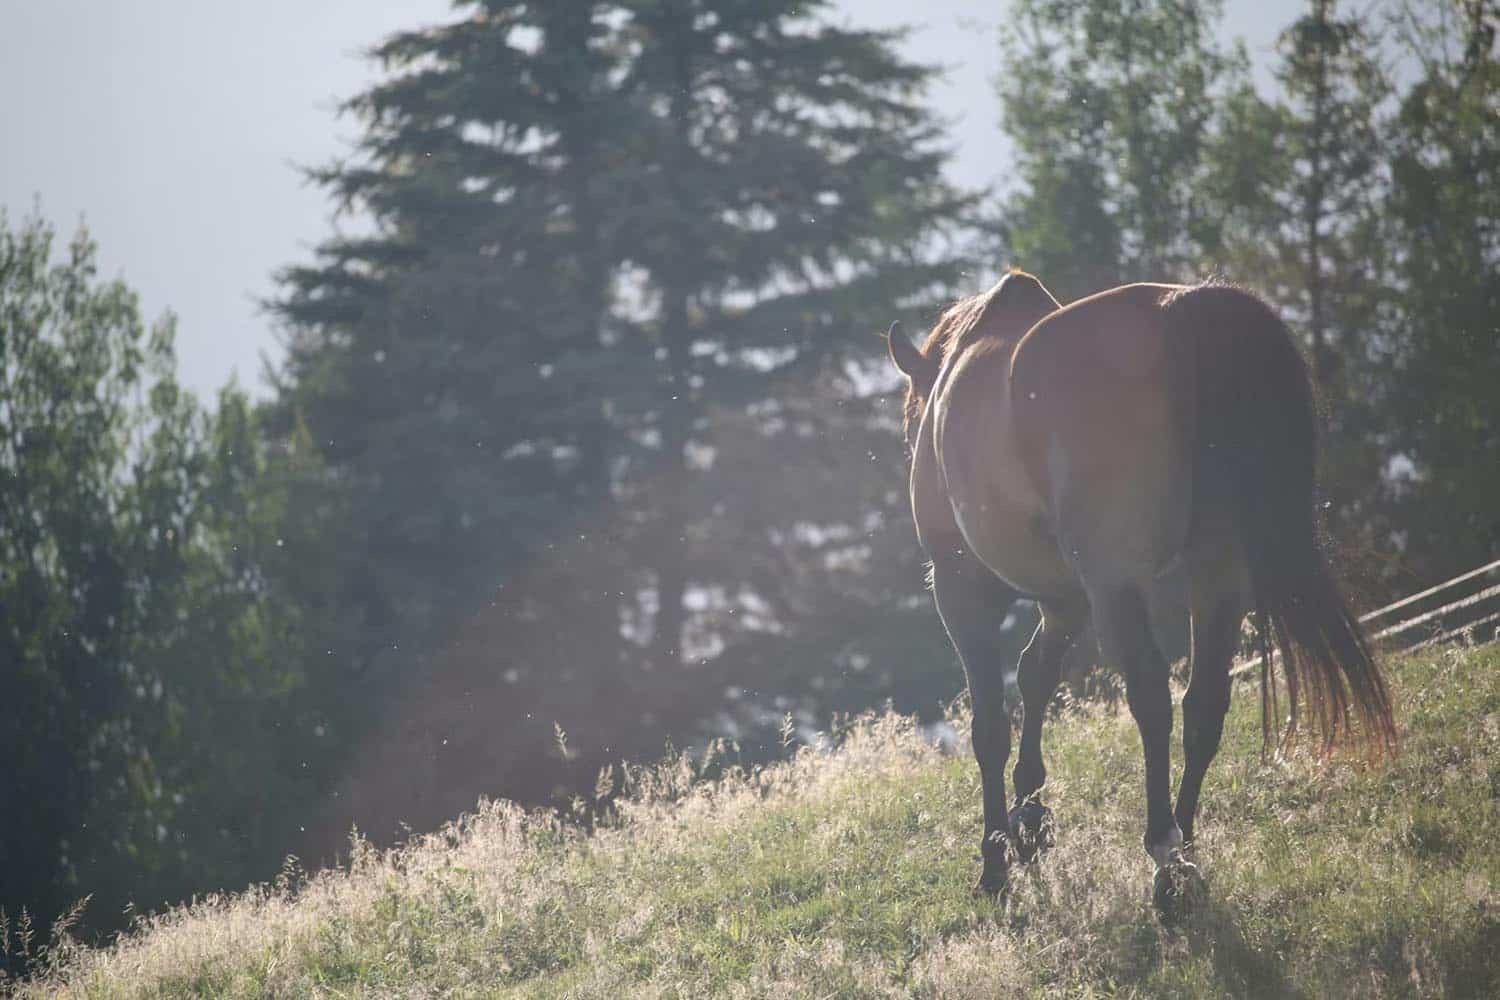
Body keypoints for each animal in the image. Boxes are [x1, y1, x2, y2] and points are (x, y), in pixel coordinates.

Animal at [888, 269, 1392, 917]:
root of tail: (1180, 312)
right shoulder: (1066, 599)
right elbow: (1035, 676)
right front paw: (1031, 823)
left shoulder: (963, 590)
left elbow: (990, 727)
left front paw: (997, 859)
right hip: (1216, 576)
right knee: (1203, 703)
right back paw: (1186, 848)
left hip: (1116, 586)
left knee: (1152, 698)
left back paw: (1164, 858)